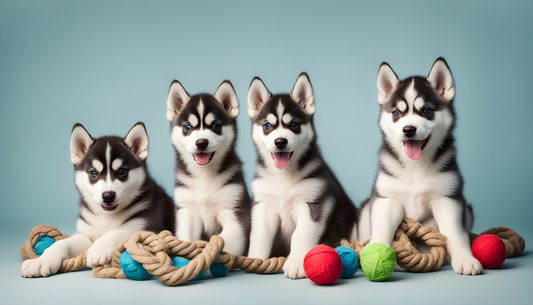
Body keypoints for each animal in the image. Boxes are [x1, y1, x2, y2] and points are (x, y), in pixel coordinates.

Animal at [21, 121, 175, 276]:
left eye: (121, 171)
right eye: (93, 173)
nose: (108, 196)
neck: (107, 216)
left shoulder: (148, 227)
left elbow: (120, 231)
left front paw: (99, 248)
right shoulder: (86, 235)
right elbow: (62, 243)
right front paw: (41, 260)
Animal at [165, 79, 250, 255]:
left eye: (215, 126)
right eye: (188, 127)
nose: (201, 143)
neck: (204, 175)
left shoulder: (236, 212)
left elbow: (225, 240)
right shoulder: (187, 211)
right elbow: (185, 239)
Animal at [245, 73, 358, 278]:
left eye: (294, 125)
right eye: (267, 126)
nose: (280, 142)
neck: (283, 176)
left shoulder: (314, 203)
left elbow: (300, 235)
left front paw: (297, 263)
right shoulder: (263, 206)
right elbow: (259, 236)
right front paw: (254, 260)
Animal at [360, 57, 484, 276]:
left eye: (426, 110)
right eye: (397, 113)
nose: (408, 129)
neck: (414, 168)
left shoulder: (447, 198)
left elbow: (455, 233)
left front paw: (465, 259)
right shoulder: (386, 199)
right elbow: (382, 230)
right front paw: (373, 256)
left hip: (466, 210)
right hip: (366, 209)